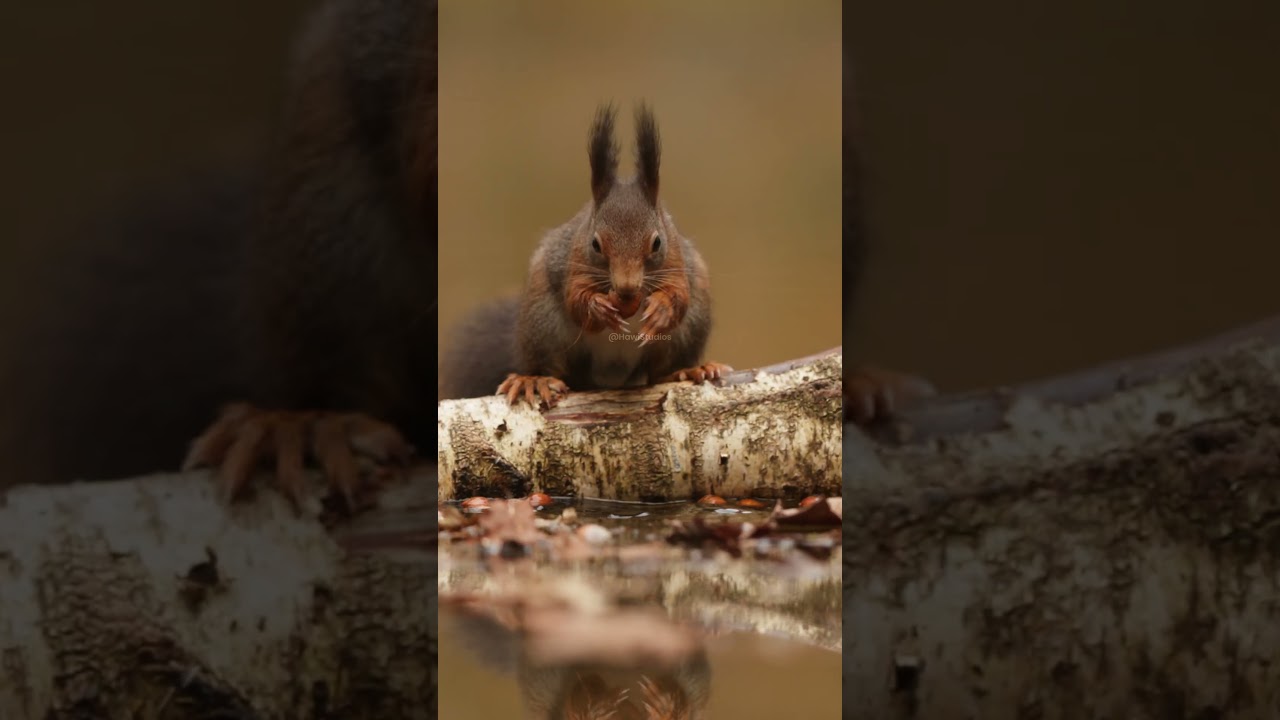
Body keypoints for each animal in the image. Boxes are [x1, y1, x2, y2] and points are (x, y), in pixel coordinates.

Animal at [438, 104, 731, 408]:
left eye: (657, 242)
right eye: (595, 244)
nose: (626, 288)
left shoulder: (678, 263)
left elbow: (678, 296)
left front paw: (661, 310)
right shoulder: (572, 262)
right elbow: (575, 301)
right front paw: (597, 307)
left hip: (689, 328)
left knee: (661, 372)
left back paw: (689, 370)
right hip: (543, 325)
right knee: (550, 365)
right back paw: (534, 380)